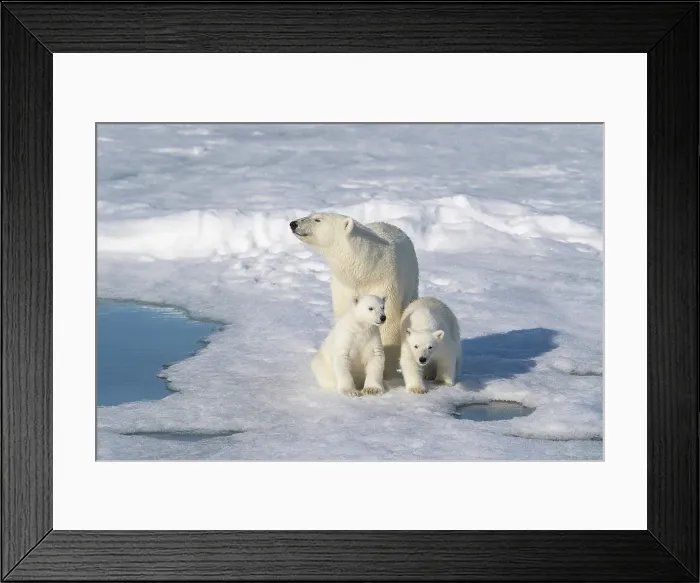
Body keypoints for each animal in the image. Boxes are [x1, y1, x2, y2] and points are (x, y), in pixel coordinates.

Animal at [290, 212, 419, 377]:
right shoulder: (343, 287)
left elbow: (389, 321)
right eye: (310, 214)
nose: (293, 224)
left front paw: (386, 369)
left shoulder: (385, 283)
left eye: (317, 219)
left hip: (413, 280)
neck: (365, 269)